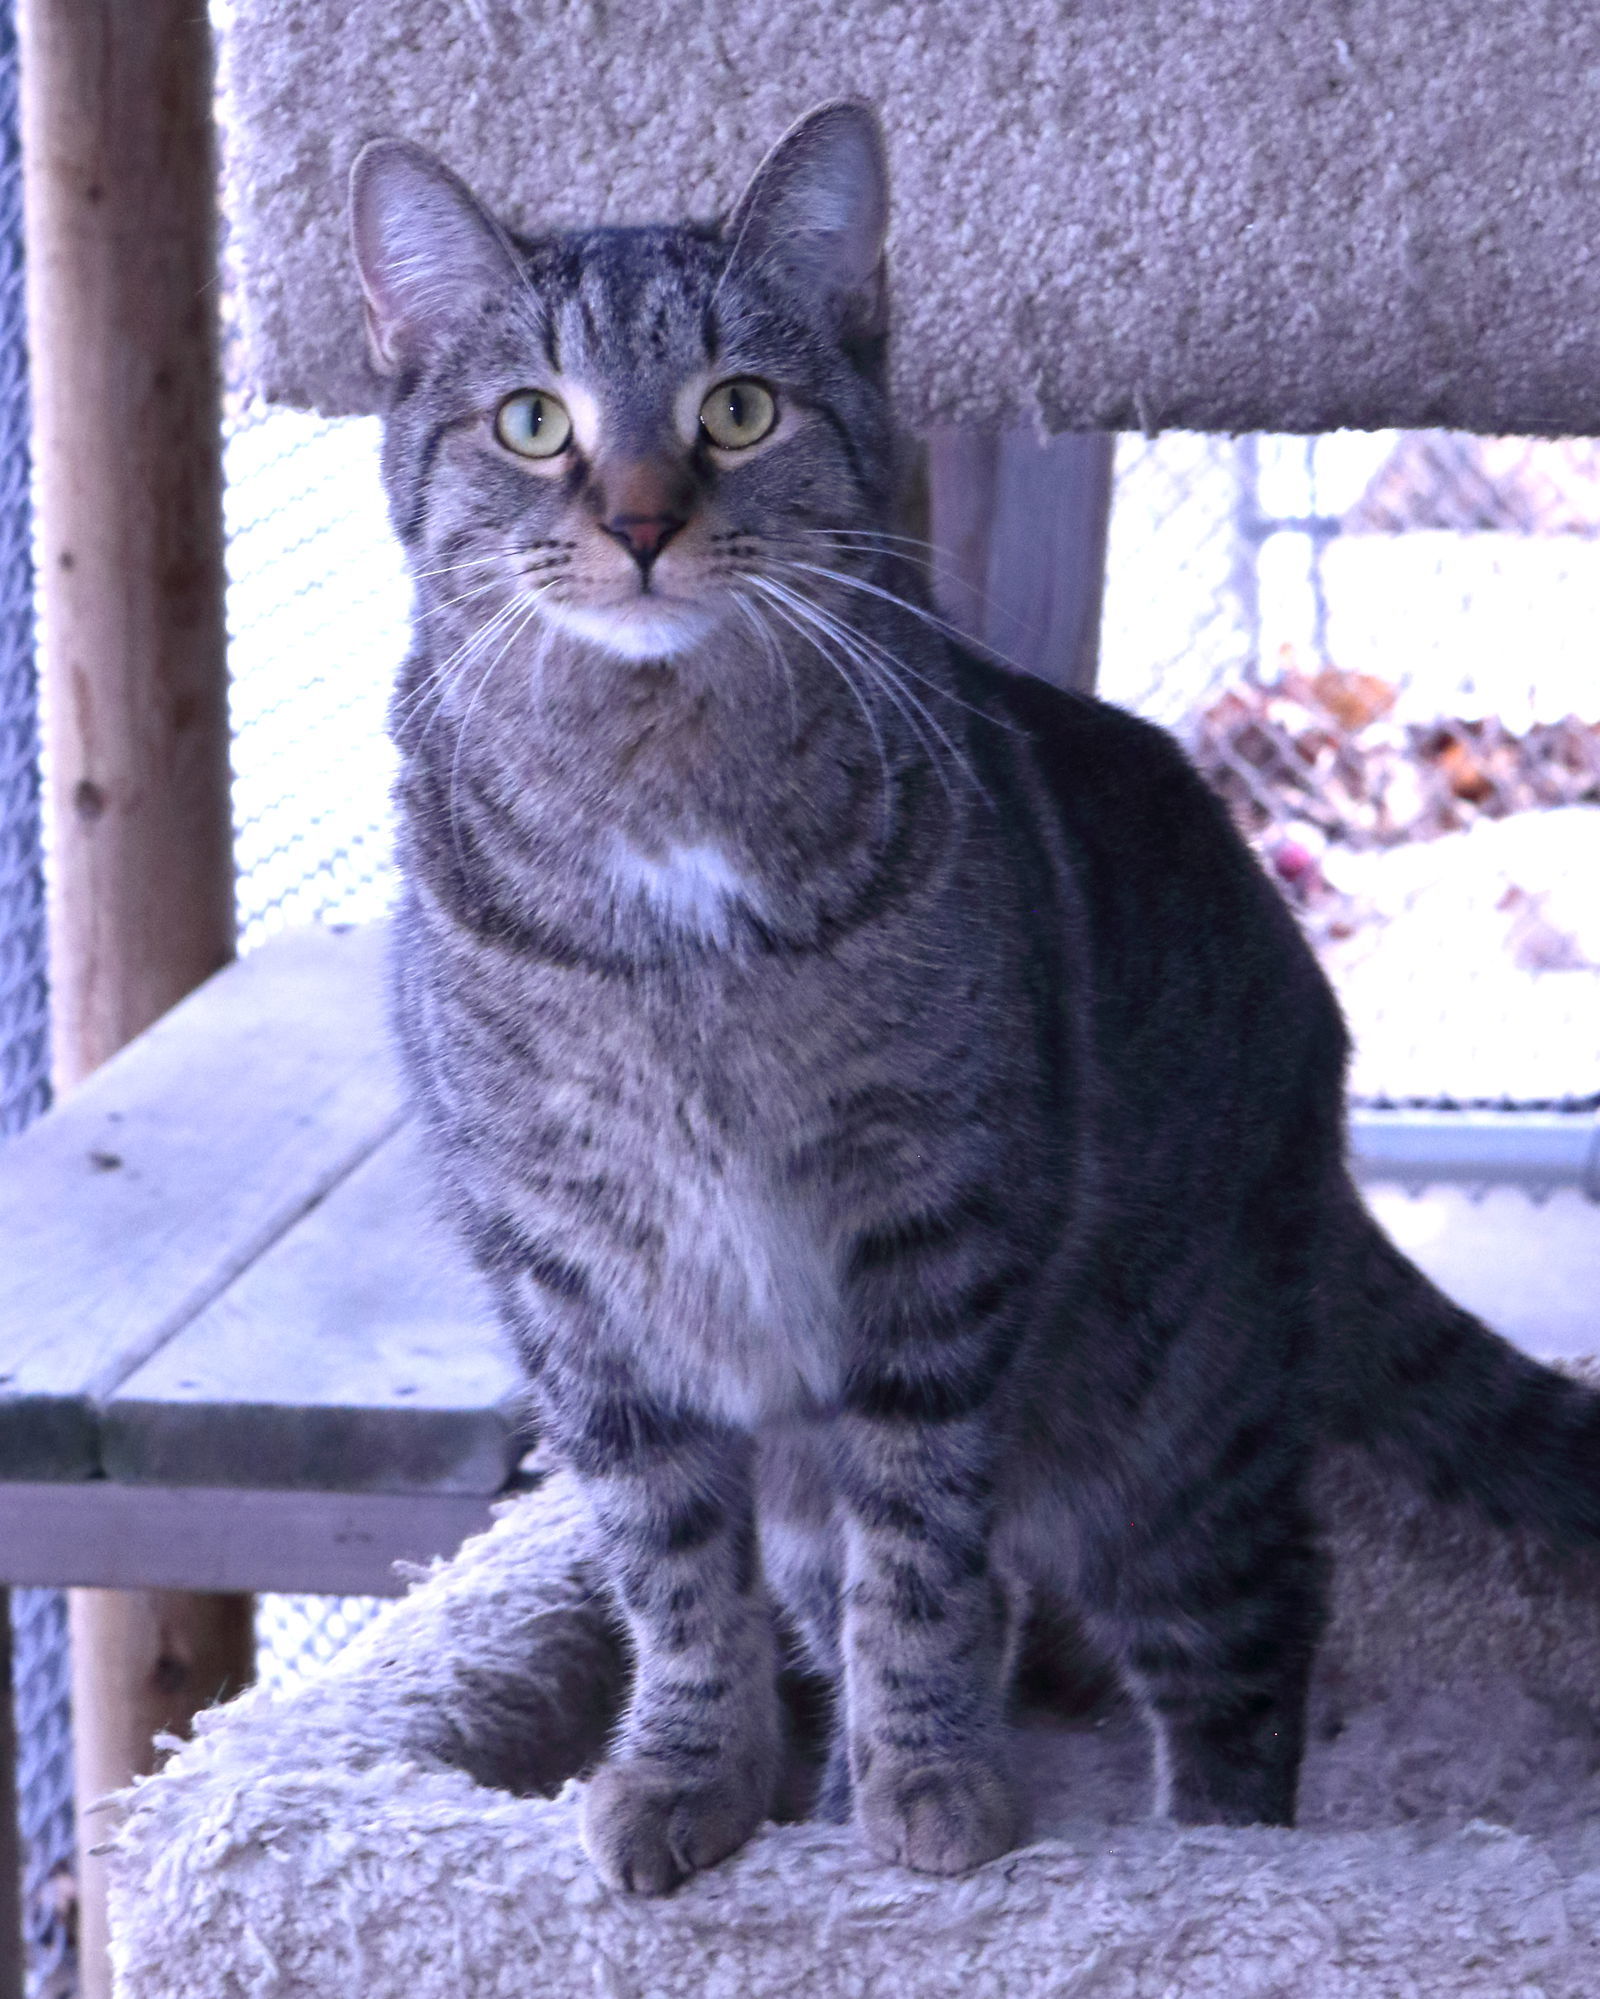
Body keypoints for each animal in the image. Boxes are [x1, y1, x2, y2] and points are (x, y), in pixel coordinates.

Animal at [354, 105, 1600, 1887]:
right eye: (534, 421)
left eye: (738, 406)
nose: (644, 522)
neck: (664, 826)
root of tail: (1319, 1098)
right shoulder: (572, 1275)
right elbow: (675, 1569)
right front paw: (693, 1772)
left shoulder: (936, 1229)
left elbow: (924, 1555)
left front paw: (931, 1779)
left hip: (1166, 1420)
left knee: (1250, 1611)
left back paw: (1222, 1844)